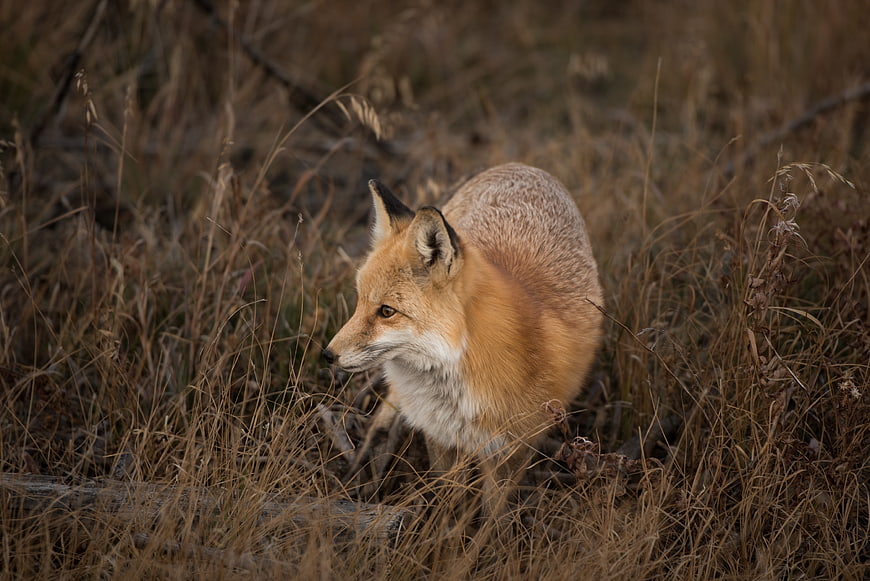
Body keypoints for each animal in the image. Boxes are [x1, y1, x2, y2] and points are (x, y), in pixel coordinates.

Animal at [322, 162, 603, 513]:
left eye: (387, 311)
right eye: (359, 301)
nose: (327, 355)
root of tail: (521, 166)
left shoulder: (514, 446)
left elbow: (493, 516)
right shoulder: (440, 435)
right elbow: (448, 498)